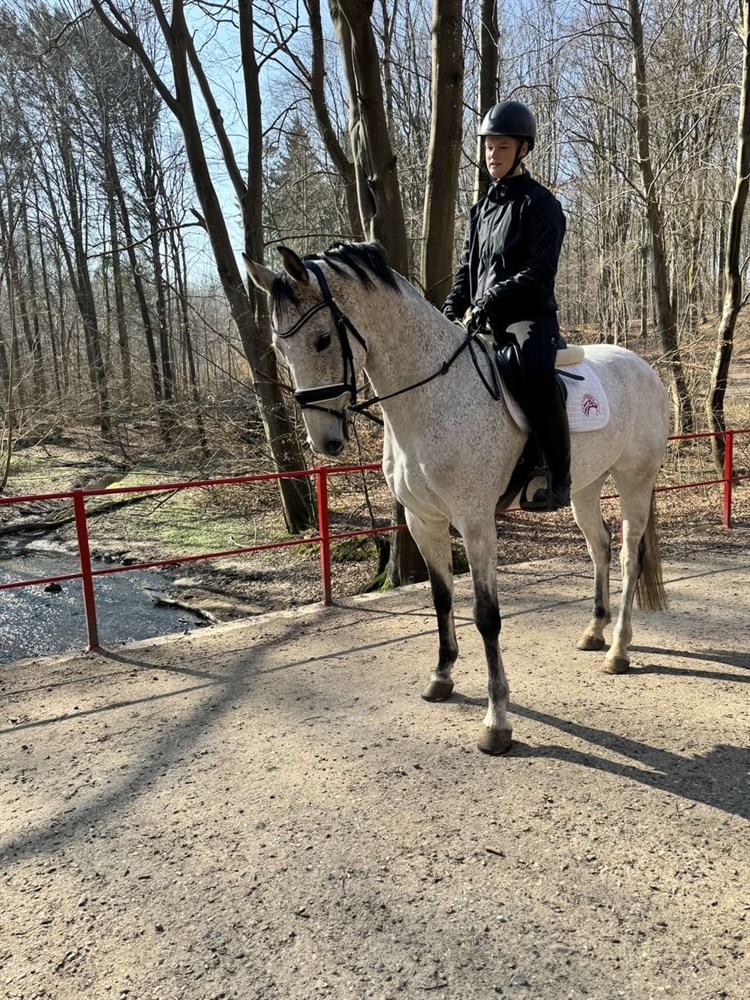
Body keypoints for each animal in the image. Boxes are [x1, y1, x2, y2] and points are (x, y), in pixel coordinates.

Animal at [244, 241, 669, 755]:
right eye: (281, 348)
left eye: (323, 340)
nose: (325, 442)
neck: (433, 397)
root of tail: (643, 366)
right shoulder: (422, 520)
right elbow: (441, 598)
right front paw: (442, 677)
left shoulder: (475, 520)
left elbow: (486, 615)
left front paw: (496, 721)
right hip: (583, 488)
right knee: (600, 547)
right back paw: (593, 631)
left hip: (634, 480)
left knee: (628, 554)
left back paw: (619, 650)